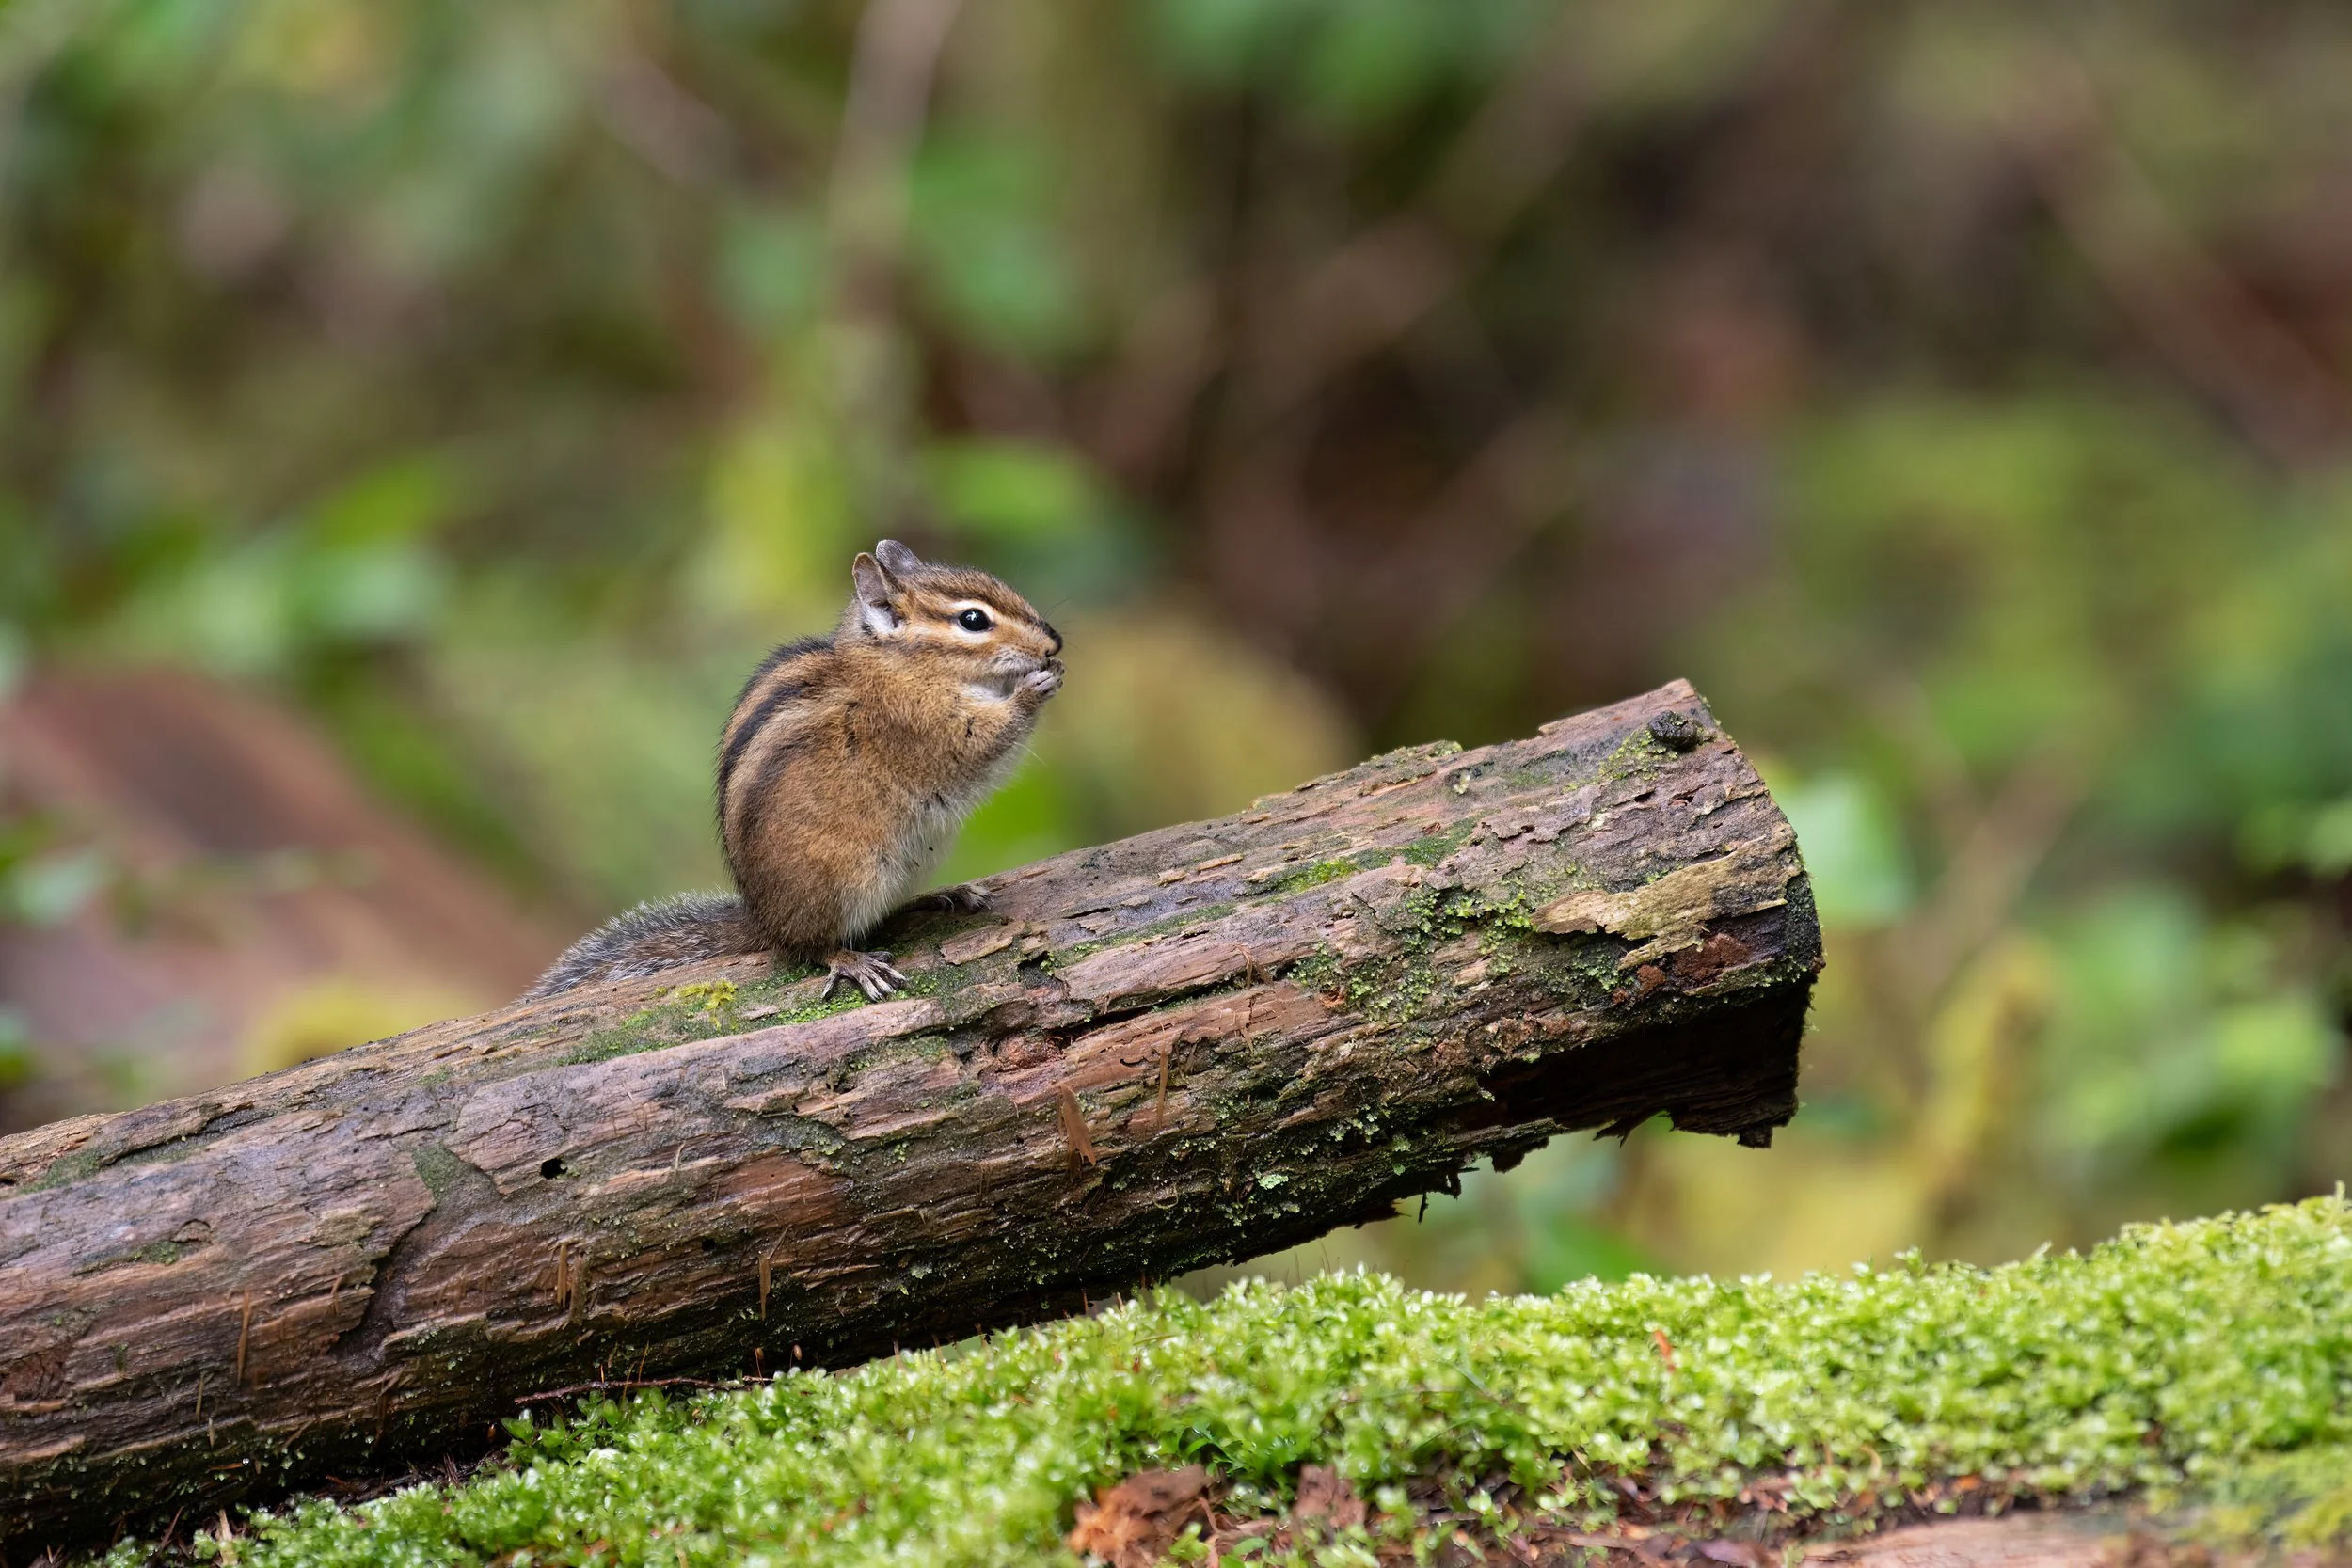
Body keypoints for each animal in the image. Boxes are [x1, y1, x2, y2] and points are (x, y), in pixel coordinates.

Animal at [523, 538, 1063, 1003]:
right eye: (973, 619)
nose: (1054, 643)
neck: (900, 665)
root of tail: (762, 920)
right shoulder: (920, 724)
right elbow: (980, 745)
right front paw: (1032, 689)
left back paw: (941, 896)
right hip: (843, 877)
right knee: (808, 947)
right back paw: (851, 961)